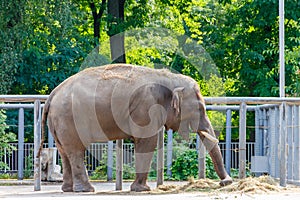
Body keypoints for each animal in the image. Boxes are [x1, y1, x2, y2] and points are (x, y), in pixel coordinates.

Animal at [38, 63, 233, 192]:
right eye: (200, 108)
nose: (226, 182)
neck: (169, 79)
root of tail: (52, 95)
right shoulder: (146, 107)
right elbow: (147, 141)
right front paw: (142, 189)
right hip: (69, 119)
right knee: (76, 150)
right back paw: (86, 190)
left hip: (58, 122)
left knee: (65, 152)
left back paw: (68, 189)